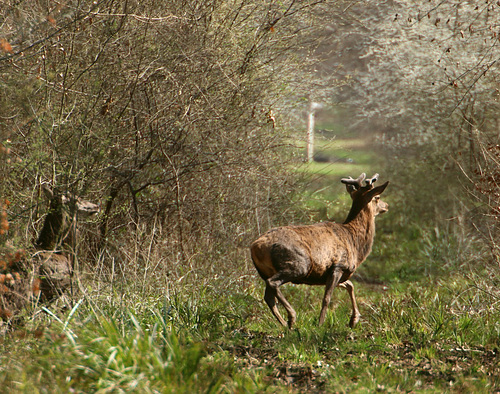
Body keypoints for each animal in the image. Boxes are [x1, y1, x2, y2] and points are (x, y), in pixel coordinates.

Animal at [252, 172, 388, 330]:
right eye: (377, 197)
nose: (386, 205)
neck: (355, 243)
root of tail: (256, 246)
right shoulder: (338, 266)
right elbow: (327, 298)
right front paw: (320, 324)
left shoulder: (326, 274)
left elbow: (350, 285)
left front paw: (354, 319)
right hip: (297, 264)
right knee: (273, 284)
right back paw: (292, 316)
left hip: (265, 271)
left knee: (268, 296)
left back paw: (285, 324)